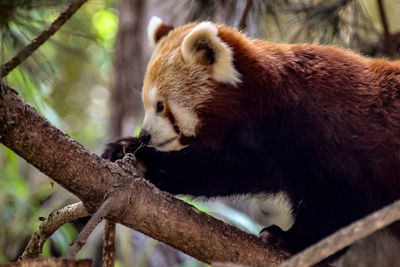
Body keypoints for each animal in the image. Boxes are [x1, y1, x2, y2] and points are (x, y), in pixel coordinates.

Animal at [103, 16, 400, 262]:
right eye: (147, 104)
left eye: (160, 106)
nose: (145, 134)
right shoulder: (261, 150)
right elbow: (218, 169)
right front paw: (132, 151)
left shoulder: (330, 135)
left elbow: (337, 204)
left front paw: (291, 240)